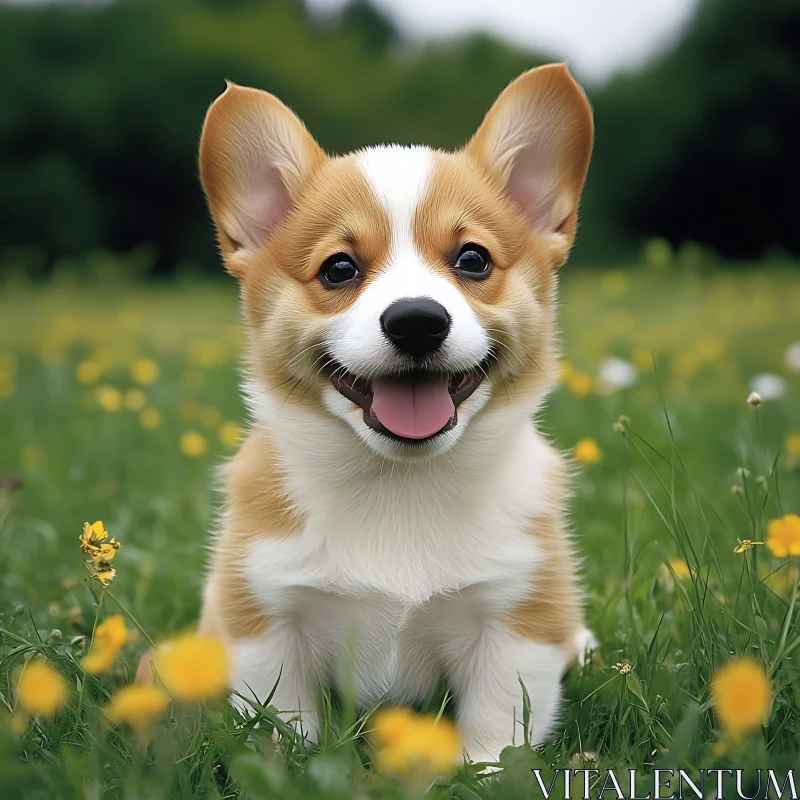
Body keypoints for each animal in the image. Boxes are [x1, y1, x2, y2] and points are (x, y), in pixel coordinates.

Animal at [195, 62, 592, 764]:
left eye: (473, 259)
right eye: (339, 268)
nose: (416, 320)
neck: (399, 486)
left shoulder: (516, 619)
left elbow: (497, 727)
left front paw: (480, 774)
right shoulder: (265, 616)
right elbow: (285, 723)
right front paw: (295, 764)